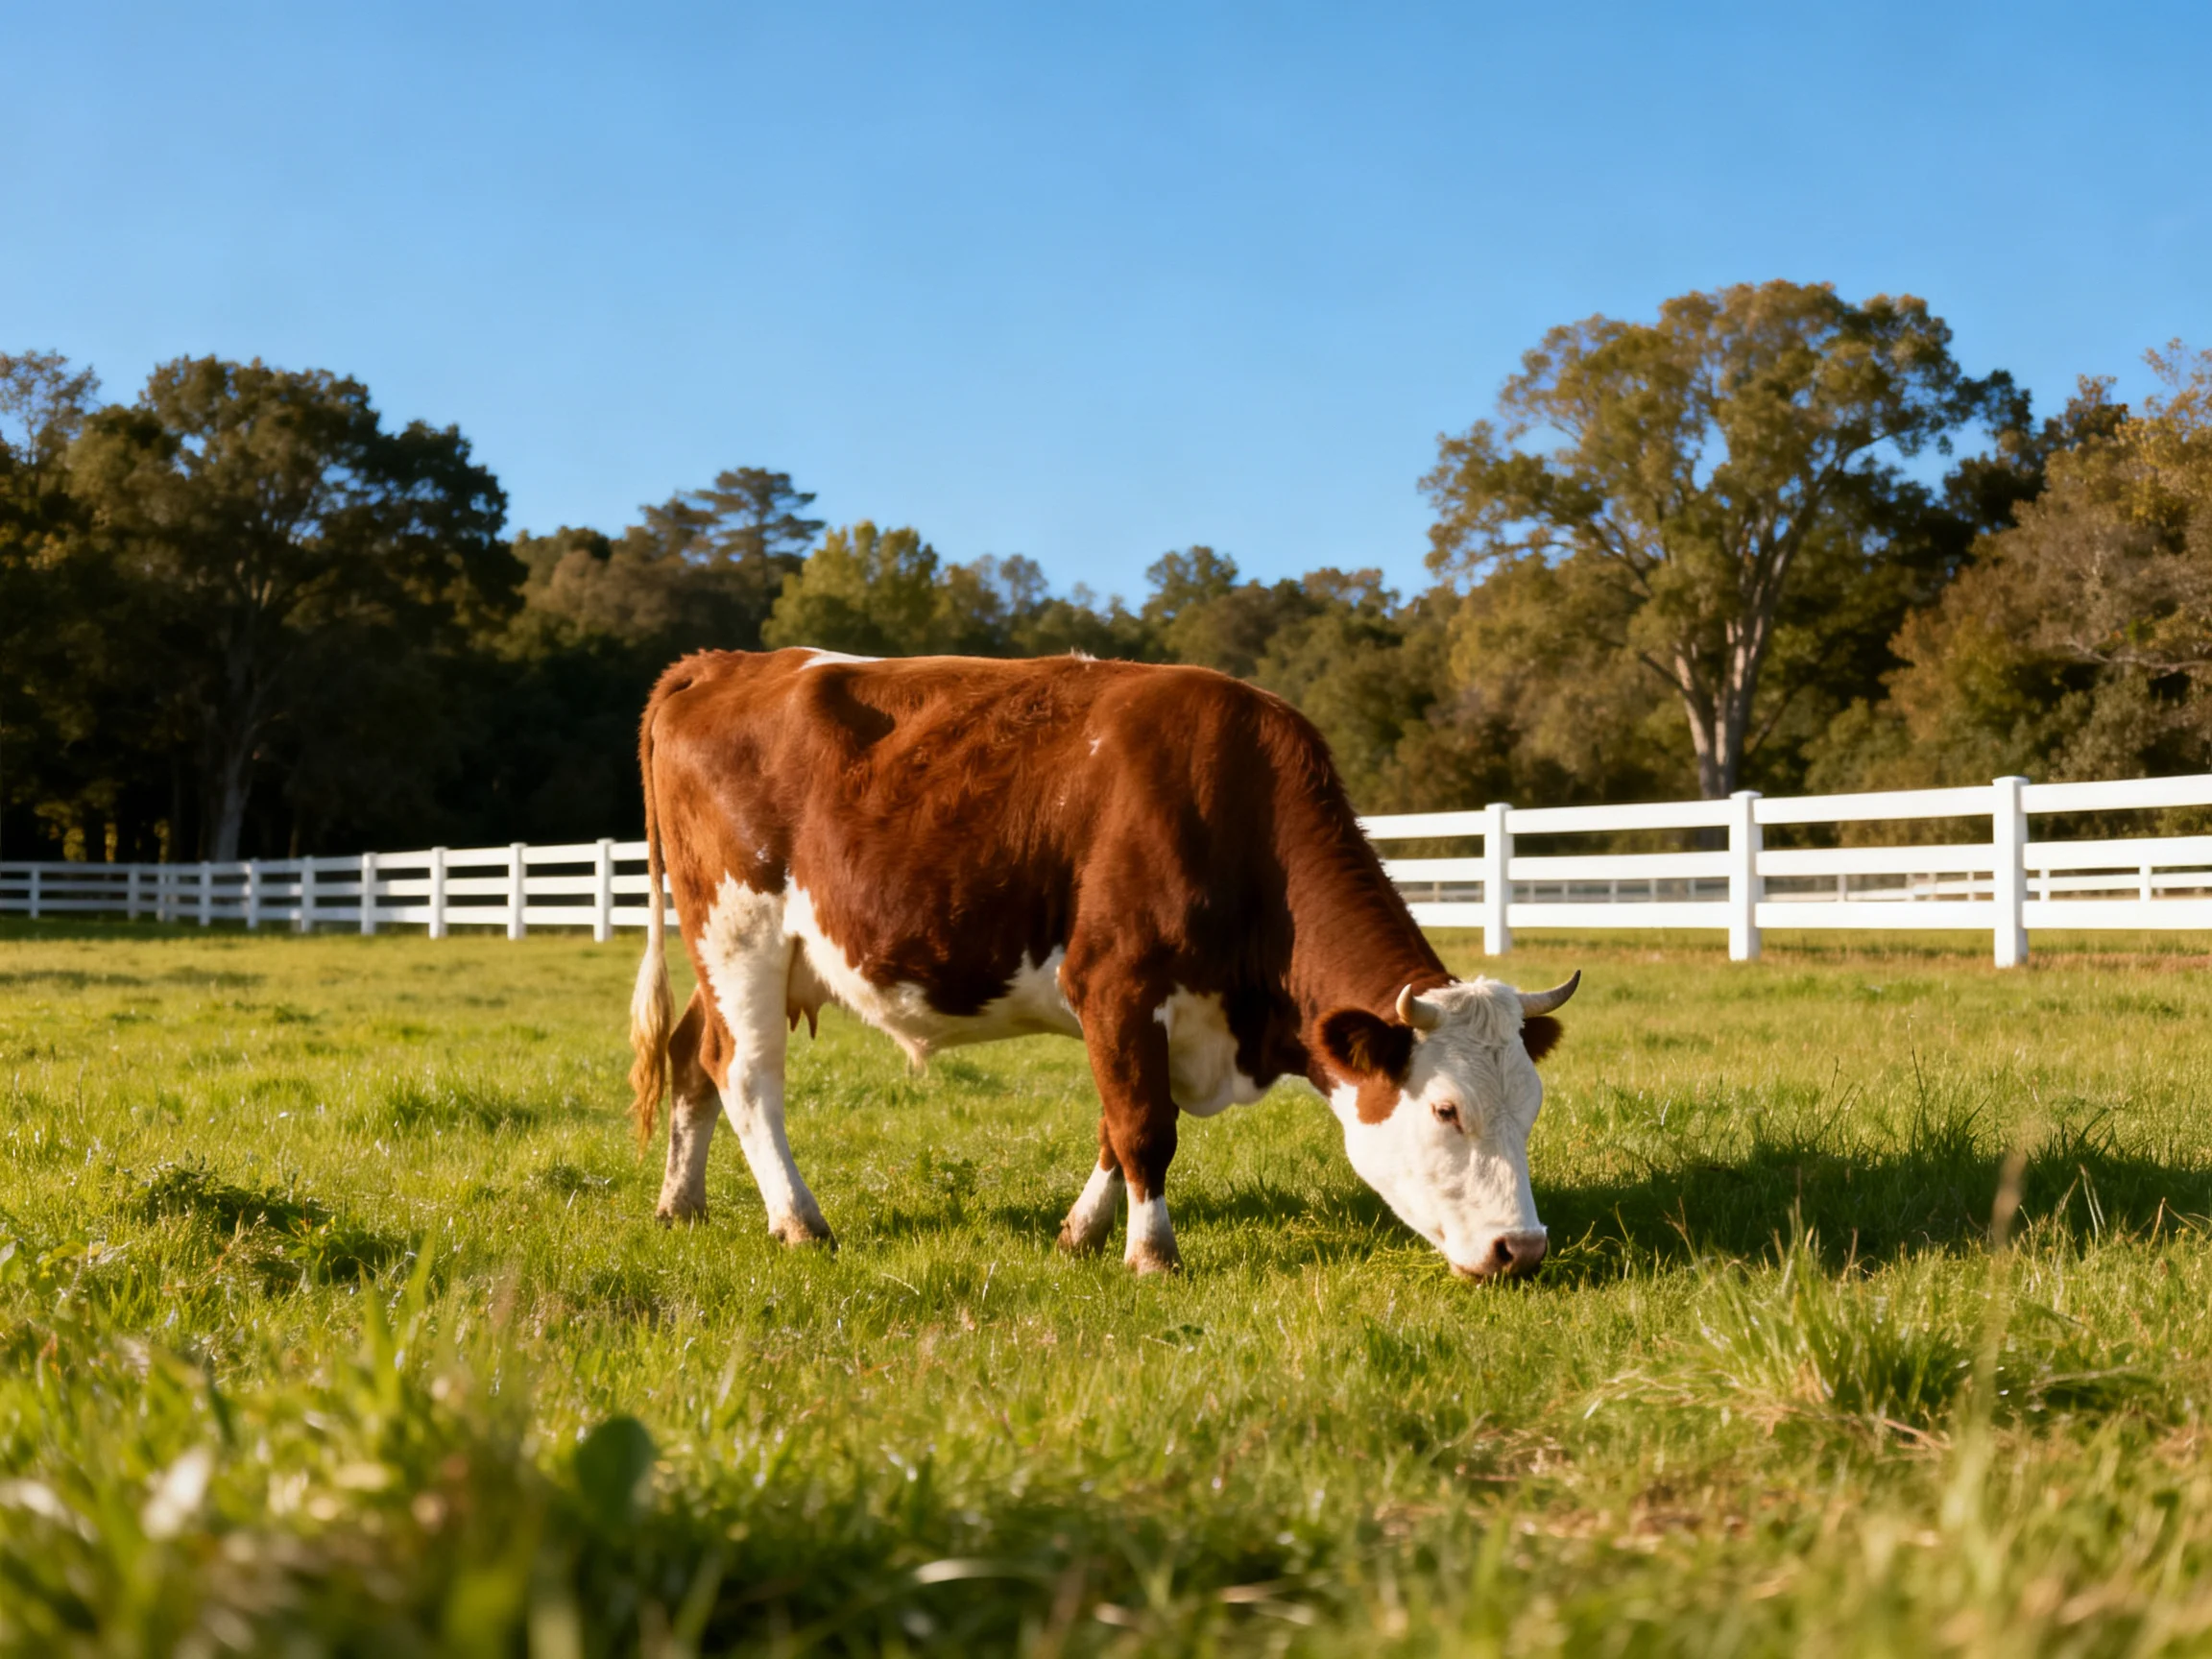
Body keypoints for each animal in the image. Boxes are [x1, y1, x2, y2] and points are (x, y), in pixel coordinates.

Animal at [626, 648, 1579, 1279]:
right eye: (1448, 1110)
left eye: (1531, 1106)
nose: (1522, 1249)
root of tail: (719, 664)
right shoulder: (1118, 985)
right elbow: (1145, 1128)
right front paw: (1151, 1255)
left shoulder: (1135, 1015)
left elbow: (1115, 1125)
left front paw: (1081, 1233)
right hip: (740, 934)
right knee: (745, 1075)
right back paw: (800, 1222)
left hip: (744, 959)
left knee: (690, 1059)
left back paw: (681, 1204)